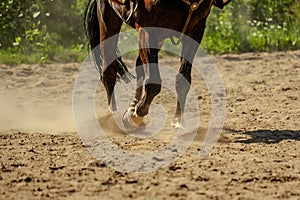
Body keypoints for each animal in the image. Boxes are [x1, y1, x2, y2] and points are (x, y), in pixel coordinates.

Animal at [84, 0, 232, 130]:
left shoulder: (196, 30)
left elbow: (183, 79)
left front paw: (177, 120)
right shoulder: (147, 30)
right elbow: (153, 83)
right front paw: (136, 115)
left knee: (139, 65)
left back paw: (132, 105)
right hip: (107, 18)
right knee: (108, 71)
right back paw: (113, 114)